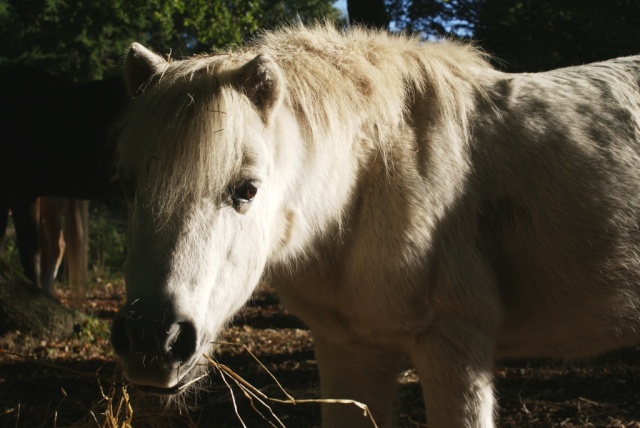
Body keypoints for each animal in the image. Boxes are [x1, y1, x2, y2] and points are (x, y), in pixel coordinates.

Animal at [112, 24, 640, 428]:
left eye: (246, 189)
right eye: (129, 185)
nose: (152, 340)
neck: (372, 180)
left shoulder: (456, 349)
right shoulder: (349, 350)